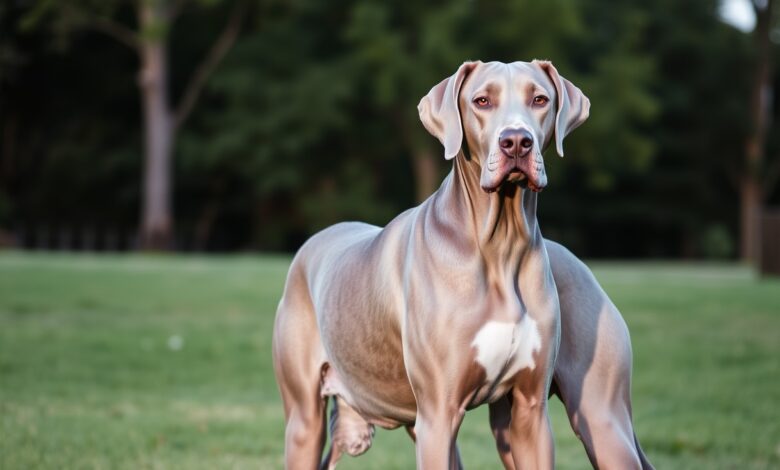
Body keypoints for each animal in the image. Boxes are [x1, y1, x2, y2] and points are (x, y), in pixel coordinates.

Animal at [274, 60, 652, 468]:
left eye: (539, 99)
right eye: (482, 101)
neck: (499, 244)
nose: (516, 141)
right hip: (306, 423)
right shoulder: (438, 414)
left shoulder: (530, 412)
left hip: (600, 420)